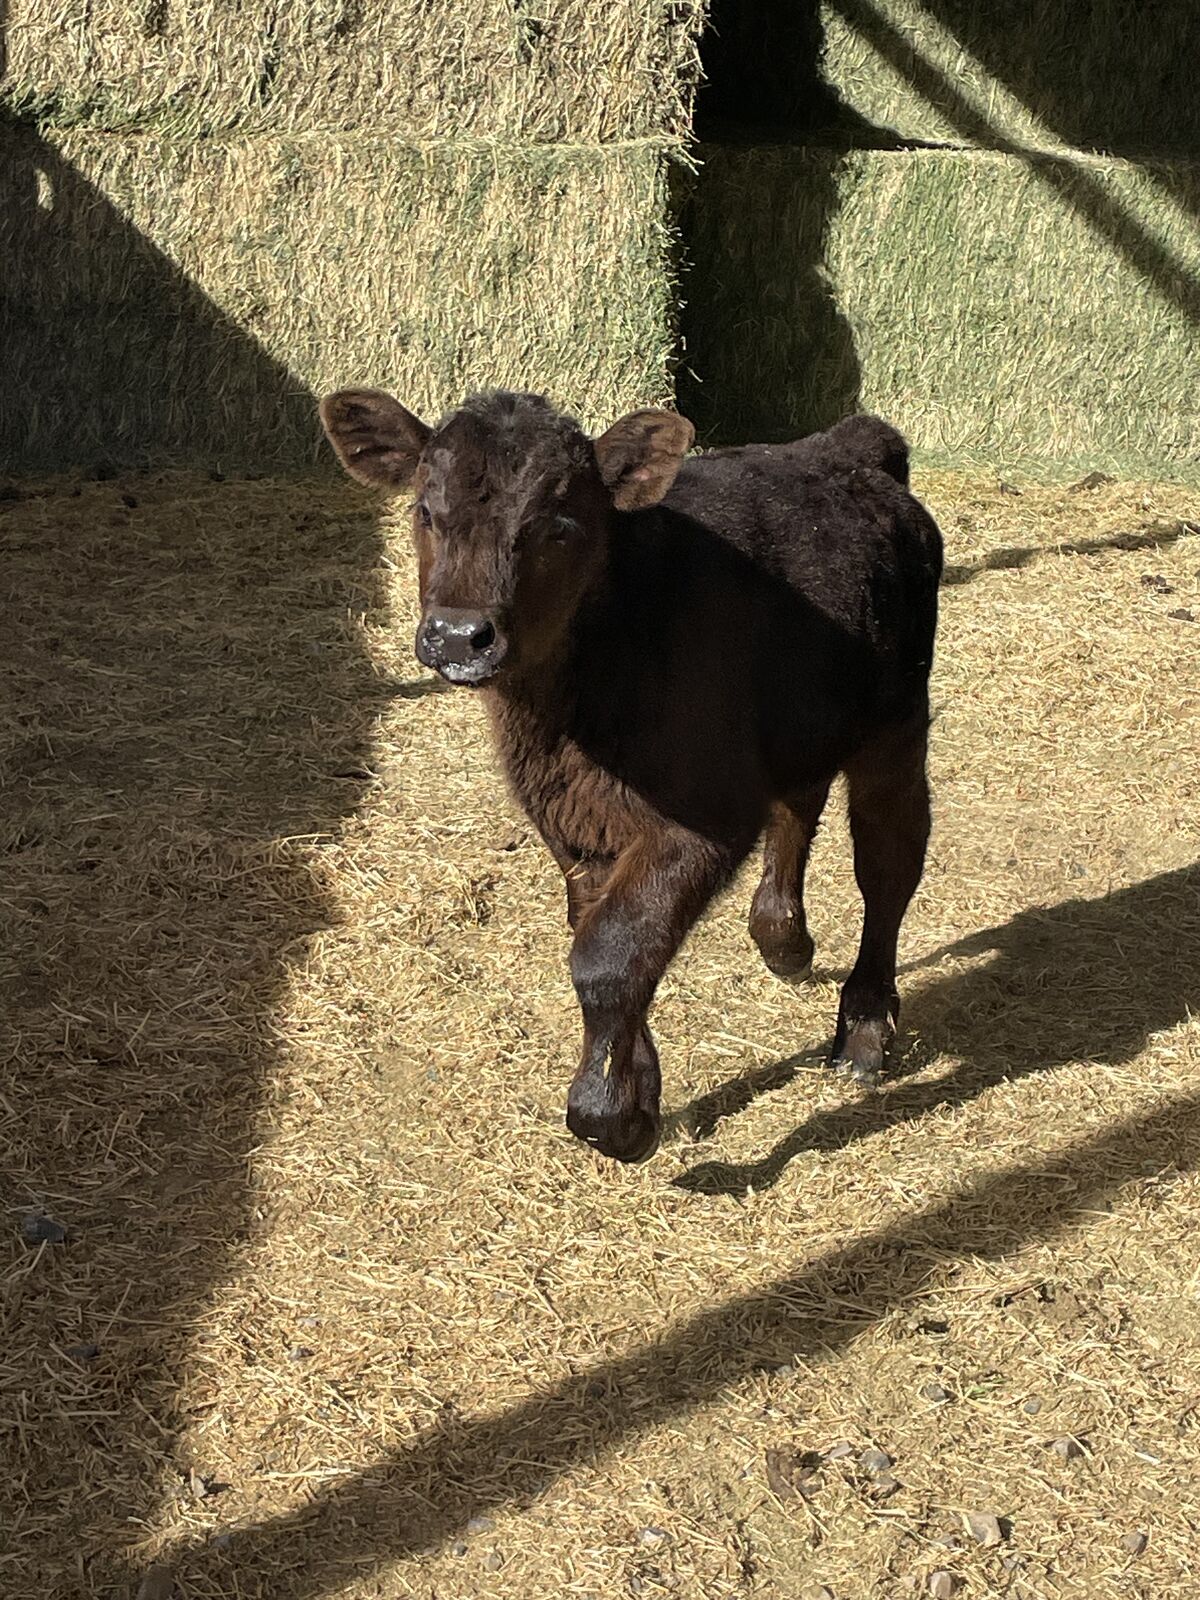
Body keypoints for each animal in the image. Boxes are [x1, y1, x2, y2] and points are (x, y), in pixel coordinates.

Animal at [320, 388, 943, 1163]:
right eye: (424, 511)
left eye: (559, 525)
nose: (459, 637)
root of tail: (843, 445)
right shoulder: (575, 823)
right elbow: (608, 941)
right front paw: (638, 1090)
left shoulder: (702, 818)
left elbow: (608, 957)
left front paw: (608, 1117)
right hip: (801, 716)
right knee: (799, 806)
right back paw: (784, 941)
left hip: (896, 726)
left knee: (888, 861)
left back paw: (862, 1030)